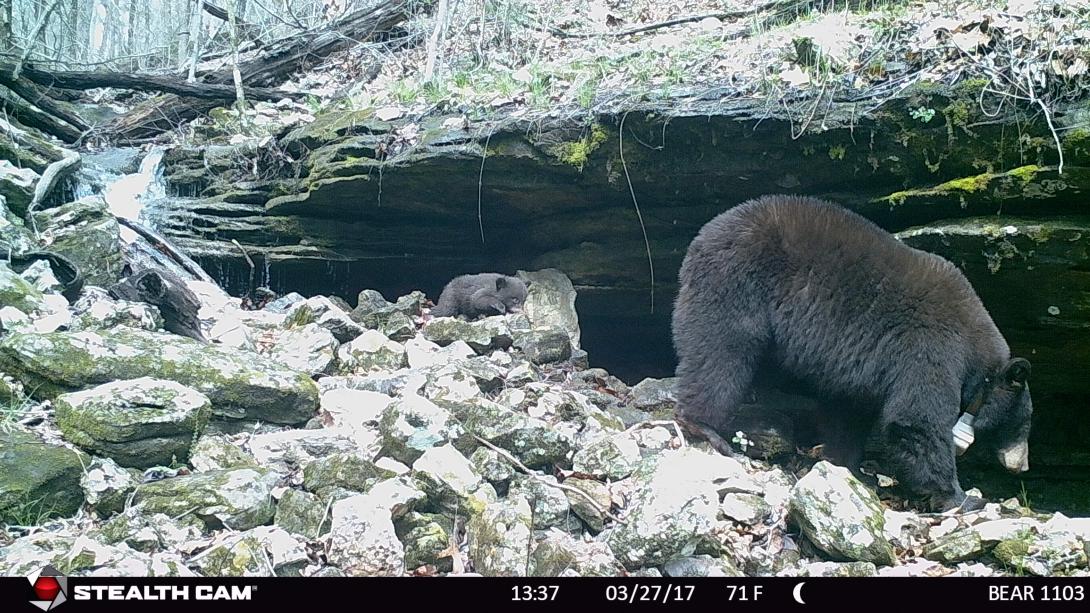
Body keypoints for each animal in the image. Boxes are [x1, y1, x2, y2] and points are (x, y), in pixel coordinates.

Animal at [667, 194, 1033, 506]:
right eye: (1024, 423)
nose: (1023, 466)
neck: (976, 355)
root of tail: (703, 236)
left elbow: (848, 411)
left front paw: (848, 466)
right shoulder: (931, 346)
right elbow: (916, 420)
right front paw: (961, 496)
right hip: (735, 284)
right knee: (720, 353)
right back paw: (706, 427)